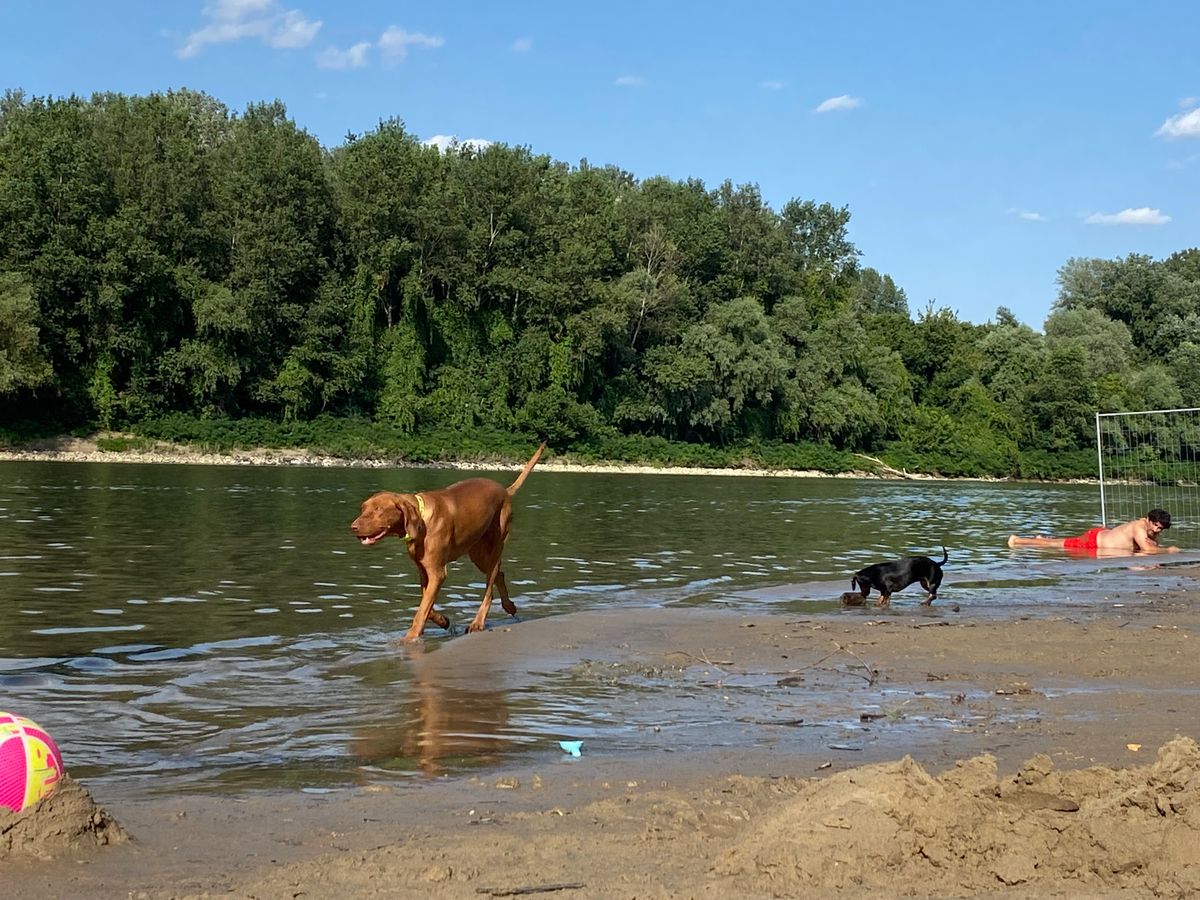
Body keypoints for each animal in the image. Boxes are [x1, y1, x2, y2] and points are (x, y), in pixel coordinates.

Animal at [350, 441, 547, 643]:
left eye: (378, 510)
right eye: (363, 508)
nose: (353, 527)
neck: (422, 519)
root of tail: (504, 490)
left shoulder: (437, 573)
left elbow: (422, 610)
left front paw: (410, 638)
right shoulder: (424, 571)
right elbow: (427, 607)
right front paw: (443, 621)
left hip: (496, 545)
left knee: (489, 588)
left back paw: (478, 623)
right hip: (477, 553)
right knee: (499, 574)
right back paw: (509, 606)